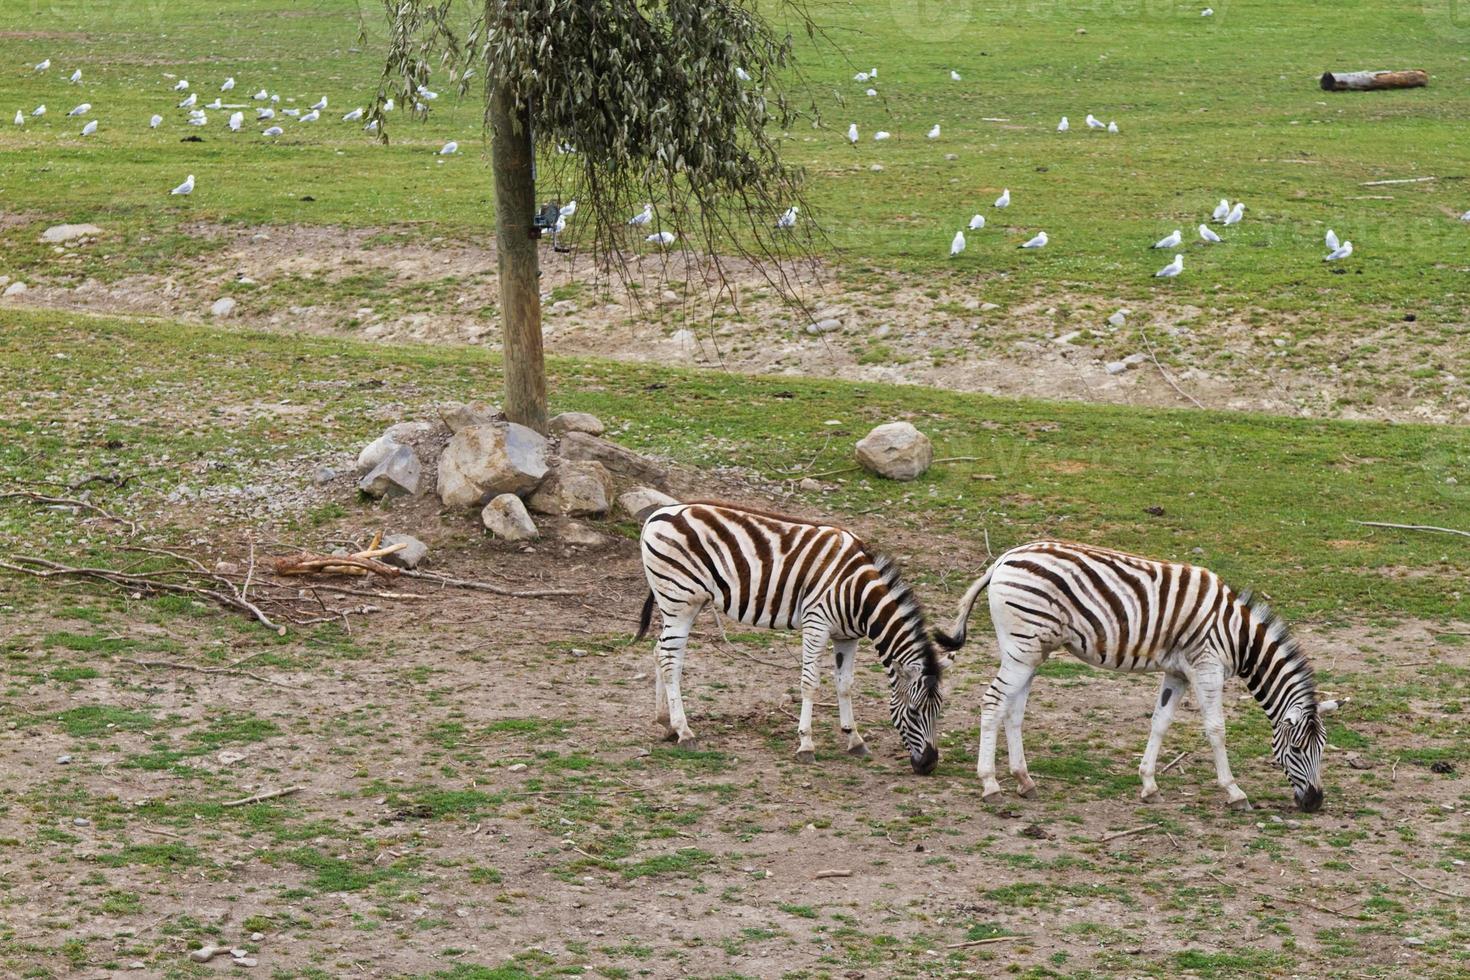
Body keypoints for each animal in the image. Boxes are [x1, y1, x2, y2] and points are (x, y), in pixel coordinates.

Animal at [637, 505, 958, 775]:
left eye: (939, 710)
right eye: (914, 712)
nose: (929, 765)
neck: (859, 594)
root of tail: (658, 514)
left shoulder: (847, 636)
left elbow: (845, 685)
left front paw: (854, 739)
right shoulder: (817, 623)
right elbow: (810, 683)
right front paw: (806, 745)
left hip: (682, 603)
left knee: (659, 651)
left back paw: (666, 723)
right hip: (680, 601)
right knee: (670, 660)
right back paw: (684, 731)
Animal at [940, 540, 1334, 811]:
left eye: (1323, 747)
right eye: (1297, 748)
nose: (1315, 802)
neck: (1238, 636)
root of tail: (1002, 559)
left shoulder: (1178, 672)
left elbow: (1160, 722)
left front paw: (1148, 784)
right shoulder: (1206, 667)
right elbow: (1216, 729)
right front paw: (1234, 792)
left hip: (1033, 650)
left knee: (1014, 710)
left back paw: (1025, 780)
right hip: (1022, 647)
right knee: (993, 702)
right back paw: (990, 785)